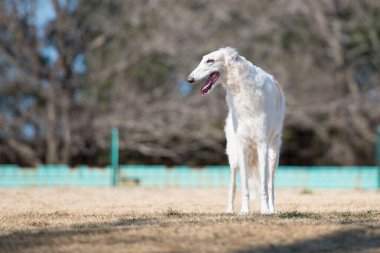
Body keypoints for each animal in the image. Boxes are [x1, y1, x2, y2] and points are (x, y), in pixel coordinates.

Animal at [187, 47, 284, 213]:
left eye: (210, 60)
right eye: (204, 59)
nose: (189, 79)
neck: (242, 88)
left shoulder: (262, 143)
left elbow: (264, 186)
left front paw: (265, 210)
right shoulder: (242, 144)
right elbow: (244, 185)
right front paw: (245, 211)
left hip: (273, 153)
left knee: (270, 184)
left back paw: (272, 210)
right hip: (234, 156)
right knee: (232, 184)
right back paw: (230, 210)